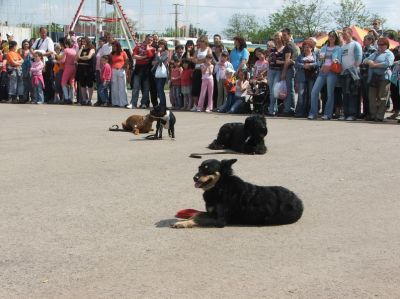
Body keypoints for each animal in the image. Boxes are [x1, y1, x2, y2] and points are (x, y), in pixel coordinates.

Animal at [172, 161, 304, 229]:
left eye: (208, 169)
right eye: (199, 168)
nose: (194, 178)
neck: (220, 185)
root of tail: (299, 200)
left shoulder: (220, 220)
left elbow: (199, 219)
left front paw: (182, 223)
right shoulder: (212, 213)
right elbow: (197, 214)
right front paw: (186, 219)